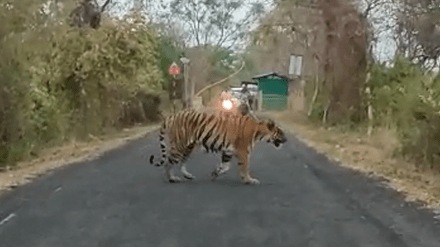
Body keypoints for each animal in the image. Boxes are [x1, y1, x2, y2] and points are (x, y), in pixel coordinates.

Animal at [149, 109, 288, 184]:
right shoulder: (243, 152)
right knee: (168, 163)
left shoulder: (228, 151)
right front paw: (249, 180)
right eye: (281, 133)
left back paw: (188, 176)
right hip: (179, 145)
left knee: (182, 162)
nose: (286, 140)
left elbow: (225, 166)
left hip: (188, 146)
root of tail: (172, 116)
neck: (259, 132)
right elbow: (245, 167)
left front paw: (214, 174)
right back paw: (172, 178)